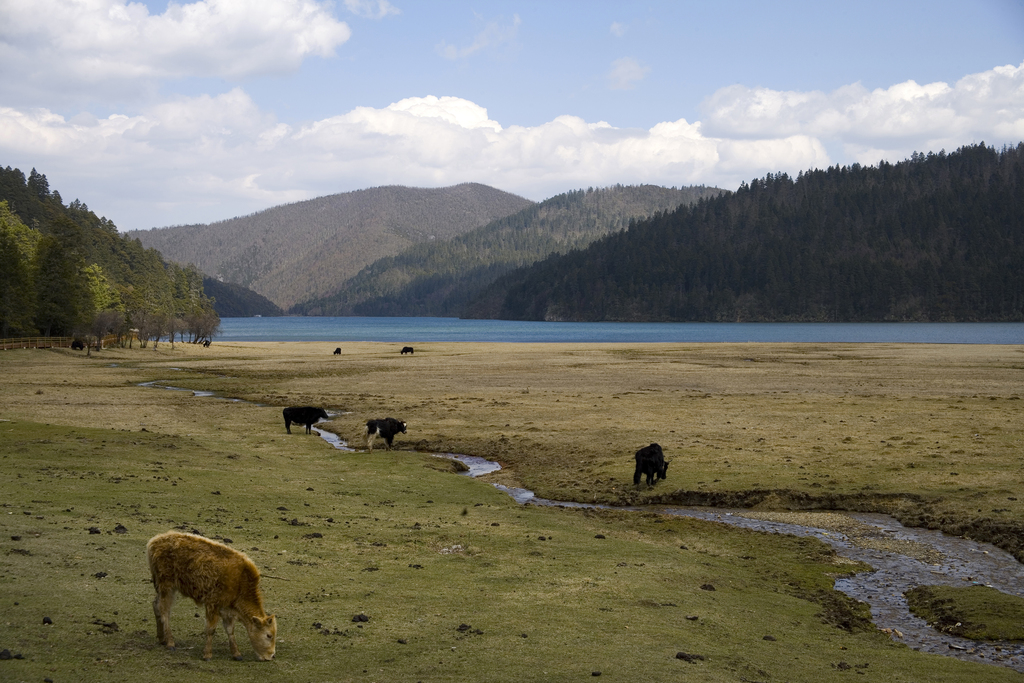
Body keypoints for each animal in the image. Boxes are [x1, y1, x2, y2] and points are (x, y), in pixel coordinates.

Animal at [146, 532, 278, 659]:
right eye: (268, 635)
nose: (271, 655)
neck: (241, 582)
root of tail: (153, 542)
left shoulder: (227, 608)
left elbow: (230, 630)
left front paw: (236, 654)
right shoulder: (212, 604)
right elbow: (211, 629)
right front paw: (207, 654)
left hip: (165, 589)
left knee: (156, 605)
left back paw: (162, 639)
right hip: (167, 587)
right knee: (164, 611)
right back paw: (170, 643)